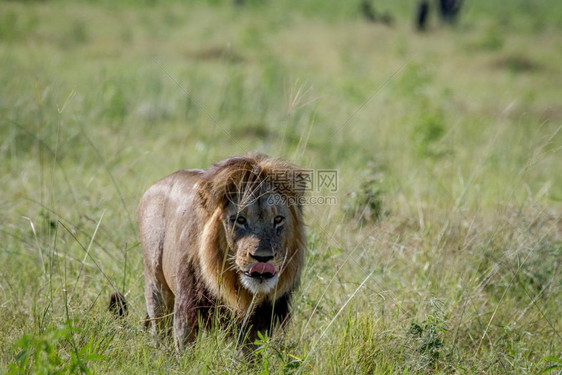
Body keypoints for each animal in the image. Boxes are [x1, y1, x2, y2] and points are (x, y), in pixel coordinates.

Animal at [139, 153, 306, 352]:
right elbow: (184, 349)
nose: (263, 258)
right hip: (156, 288)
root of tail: (156, 184)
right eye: (240, 220)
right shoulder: (186, 309)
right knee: (160, 330)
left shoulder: (258, 319)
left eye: (278, 219)